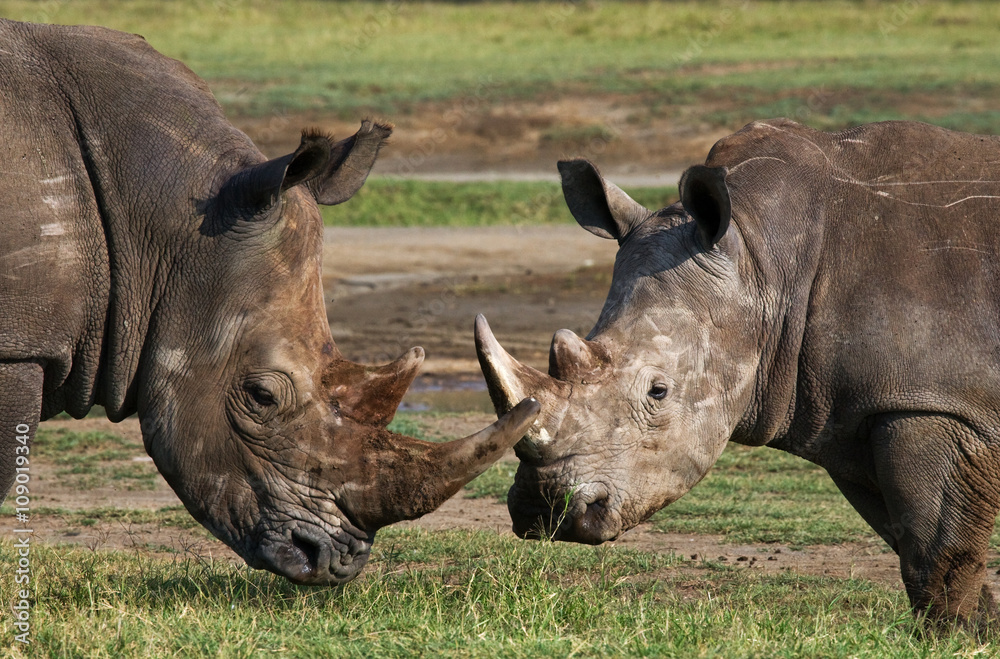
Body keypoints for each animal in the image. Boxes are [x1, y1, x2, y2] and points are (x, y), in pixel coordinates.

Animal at [477, 118, 1000, 623]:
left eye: (658, 392)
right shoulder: (854, 412)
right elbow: (908, 536)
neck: (764, 258)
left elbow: (936, 551)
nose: (546, 508)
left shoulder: (937, 404)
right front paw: (980, 629)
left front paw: (950, 634)